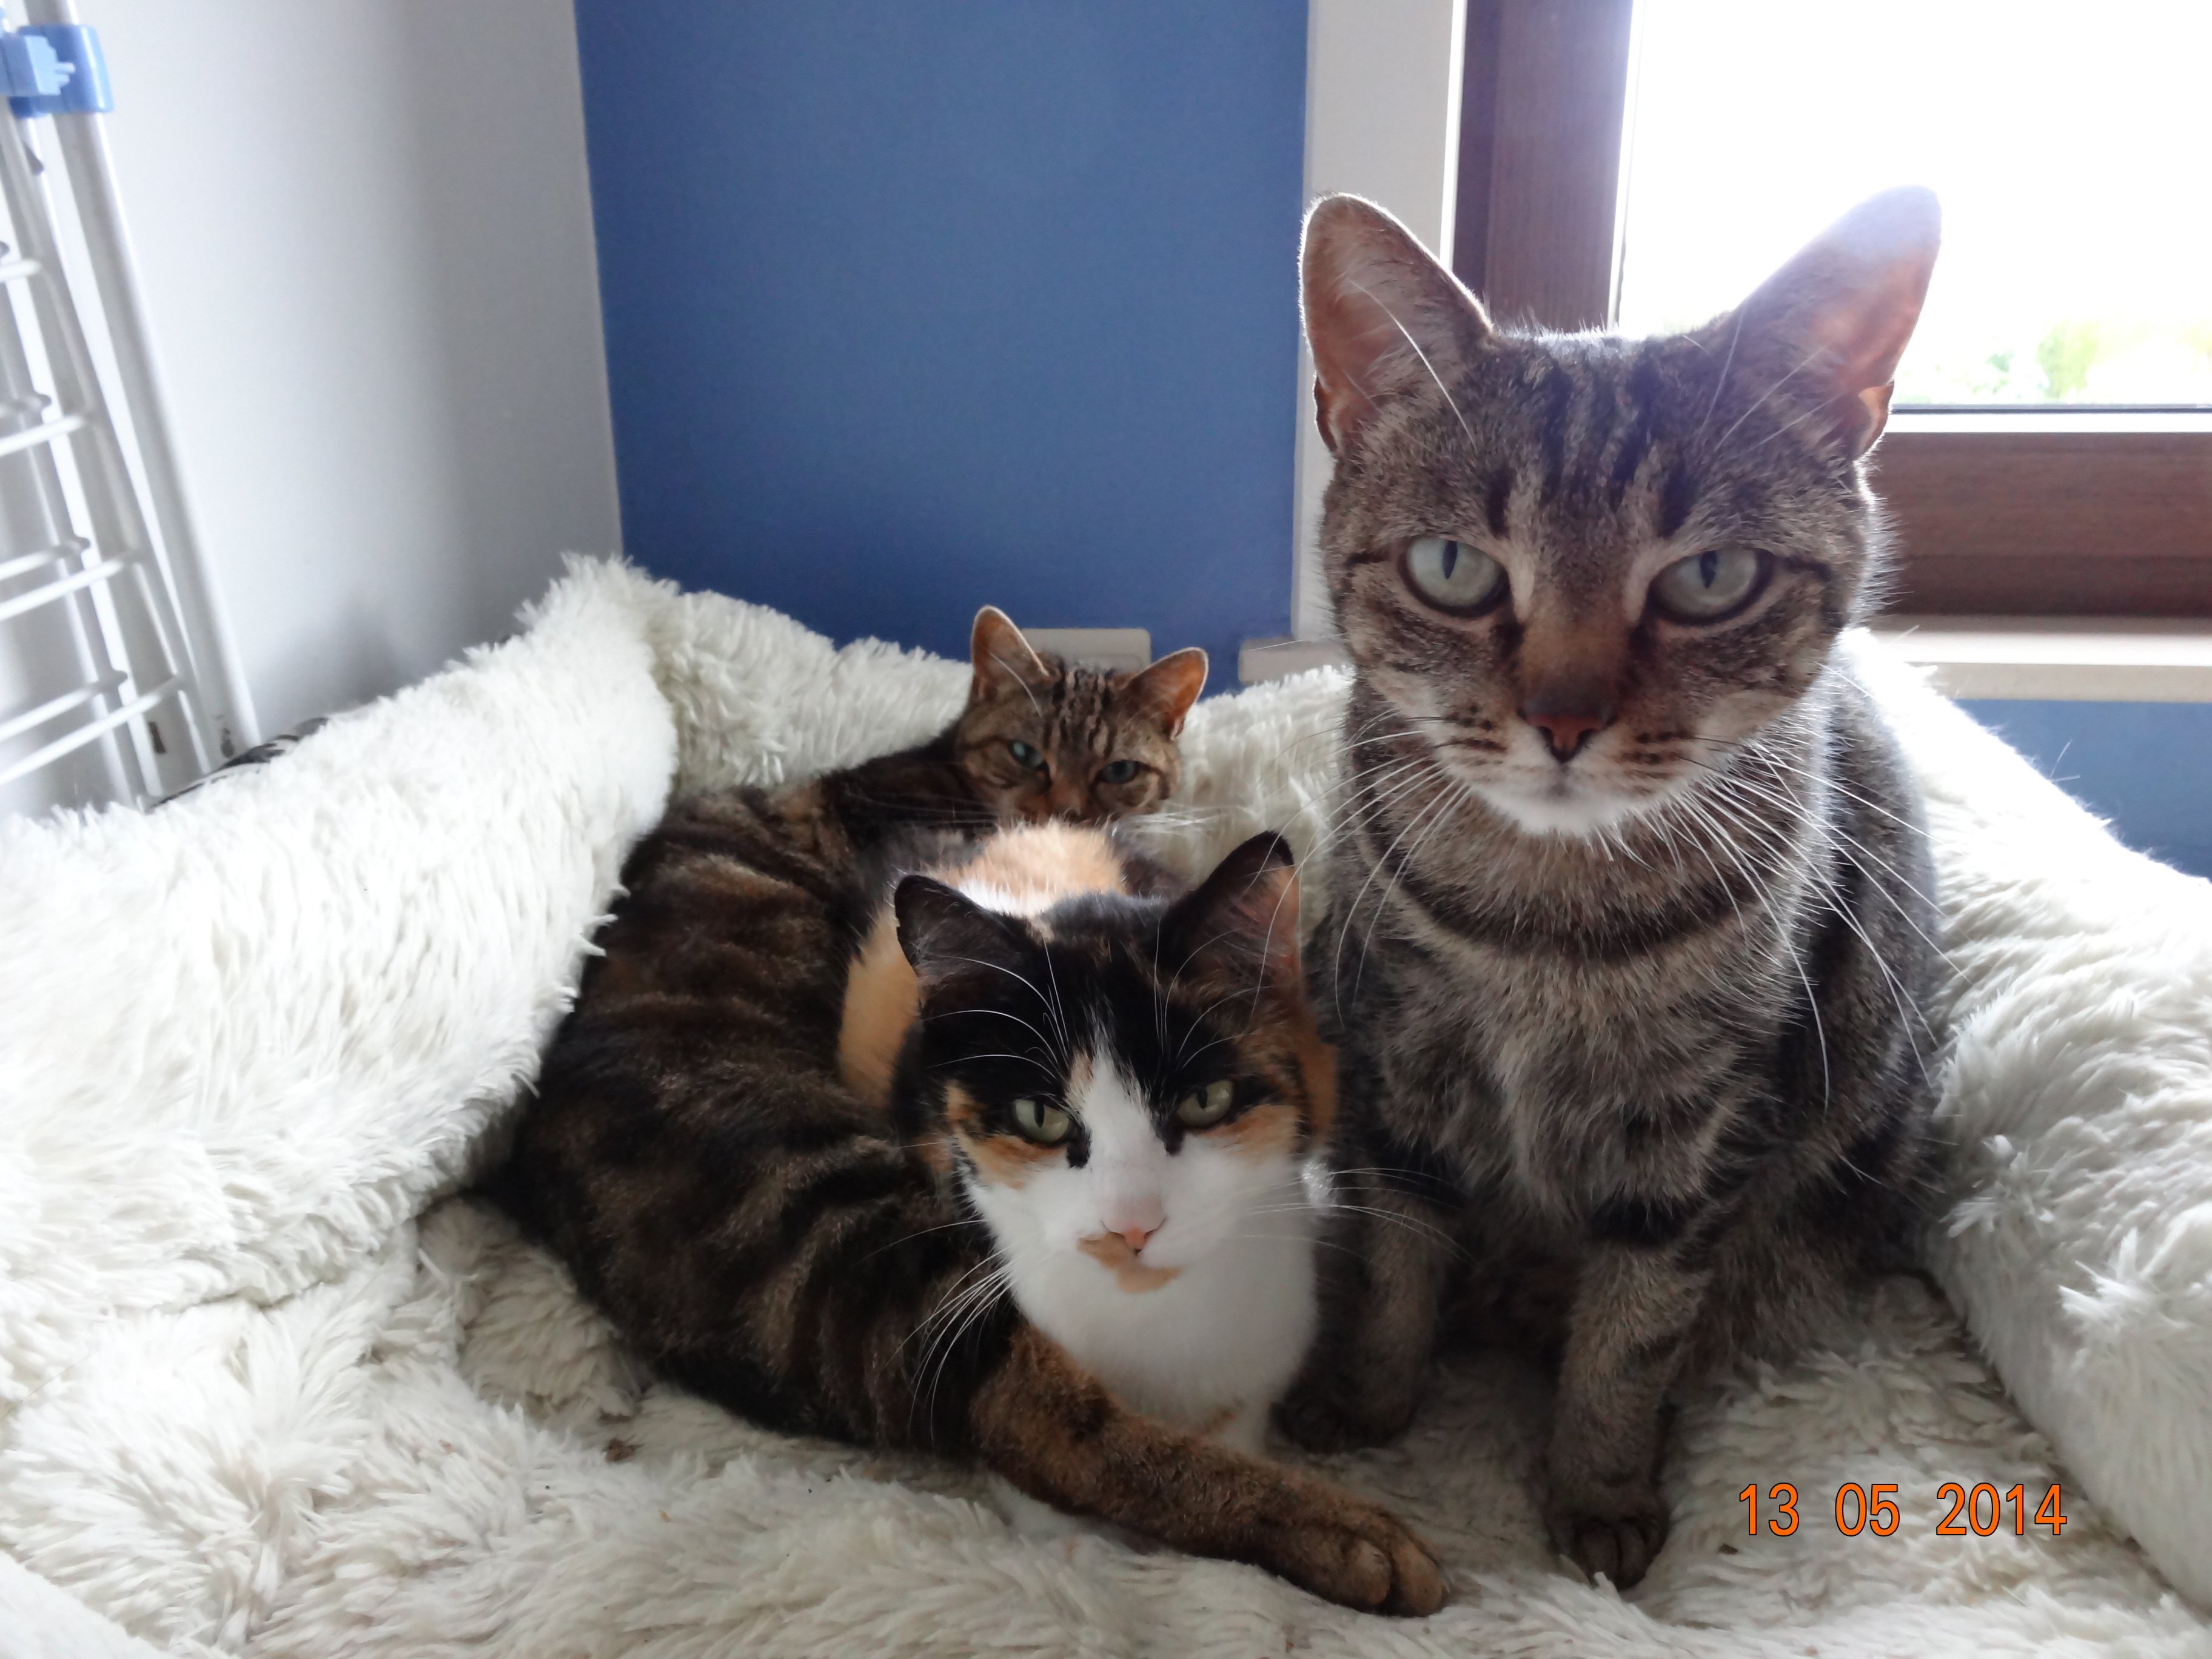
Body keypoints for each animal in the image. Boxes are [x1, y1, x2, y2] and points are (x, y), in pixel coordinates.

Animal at [502, 611, 1443, 1613]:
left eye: (1119, 769)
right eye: (1026, 753)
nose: (1068, 807)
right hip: (831, 1206)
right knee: (1033, 1414)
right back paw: (1350, 1539)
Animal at [1274, 187, 1946, 1592]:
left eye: (1708, 579)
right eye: (1452, 567)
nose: (1563, 720)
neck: (1544, 923)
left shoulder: (1695, 1131)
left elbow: (1631, 1332)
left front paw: (1596, 1488)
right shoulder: (1397, 1065)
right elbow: (1396, 1263)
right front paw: (1365, 1403)